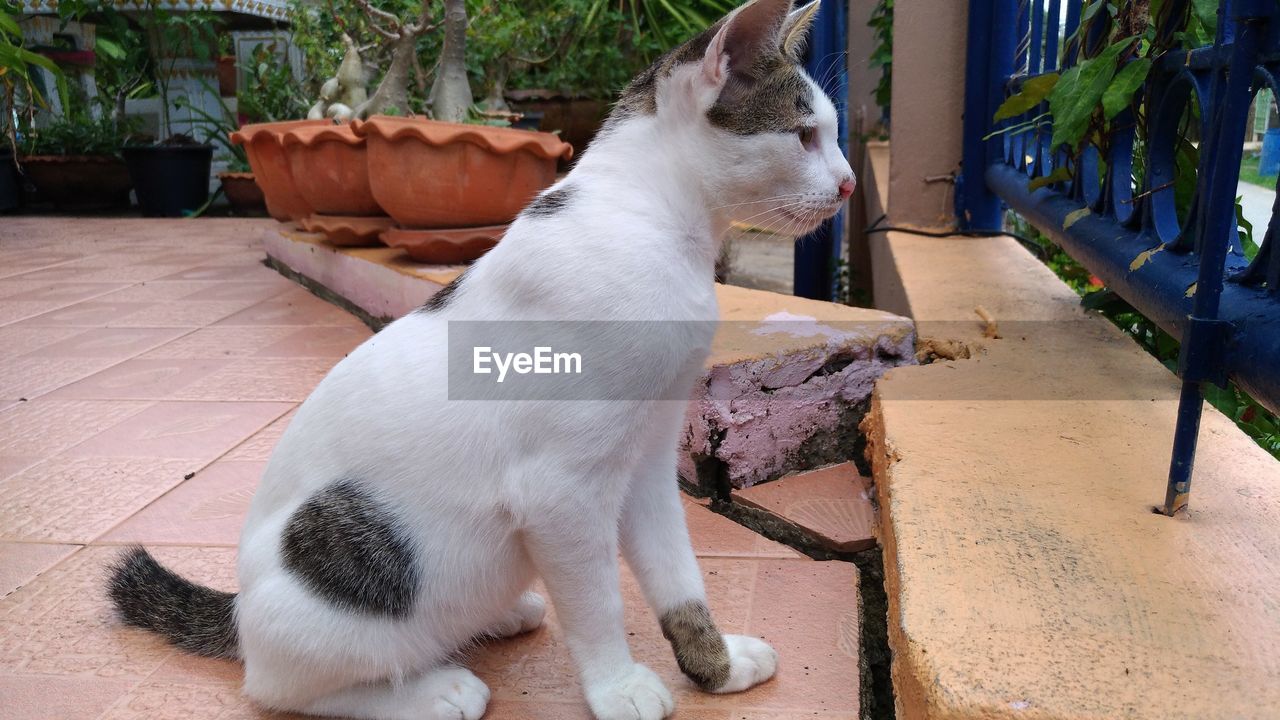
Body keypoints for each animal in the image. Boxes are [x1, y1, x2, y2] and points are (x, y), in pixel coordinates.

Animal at [107, 1, 849, 717]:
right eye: (803, 134)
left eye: (833, 133)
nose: (845, 186)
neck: (650, 221)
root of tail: (238, 612)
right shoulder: (561, 491)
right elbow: (598, 602)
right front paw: (616, 687)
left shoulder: (647, 460)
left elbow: (679, 577)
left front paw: (716, 666)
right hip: (336, 584)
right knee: (281, 688)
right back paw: (431, 691)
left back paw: (499, 616)